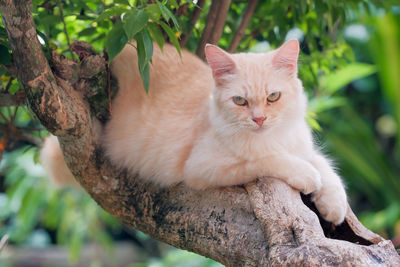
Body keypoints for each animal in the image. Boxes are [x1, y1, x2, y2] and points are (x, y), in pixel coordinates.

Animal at [39, 39, 346, 224]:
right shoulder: (203, 167)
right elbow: (267, 160)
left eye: (273, 97)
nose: (259, 119)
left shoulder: (302, 146)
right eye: (240, 101)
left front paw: (334, 206)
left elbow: (326, 168)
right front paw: (306, 176)